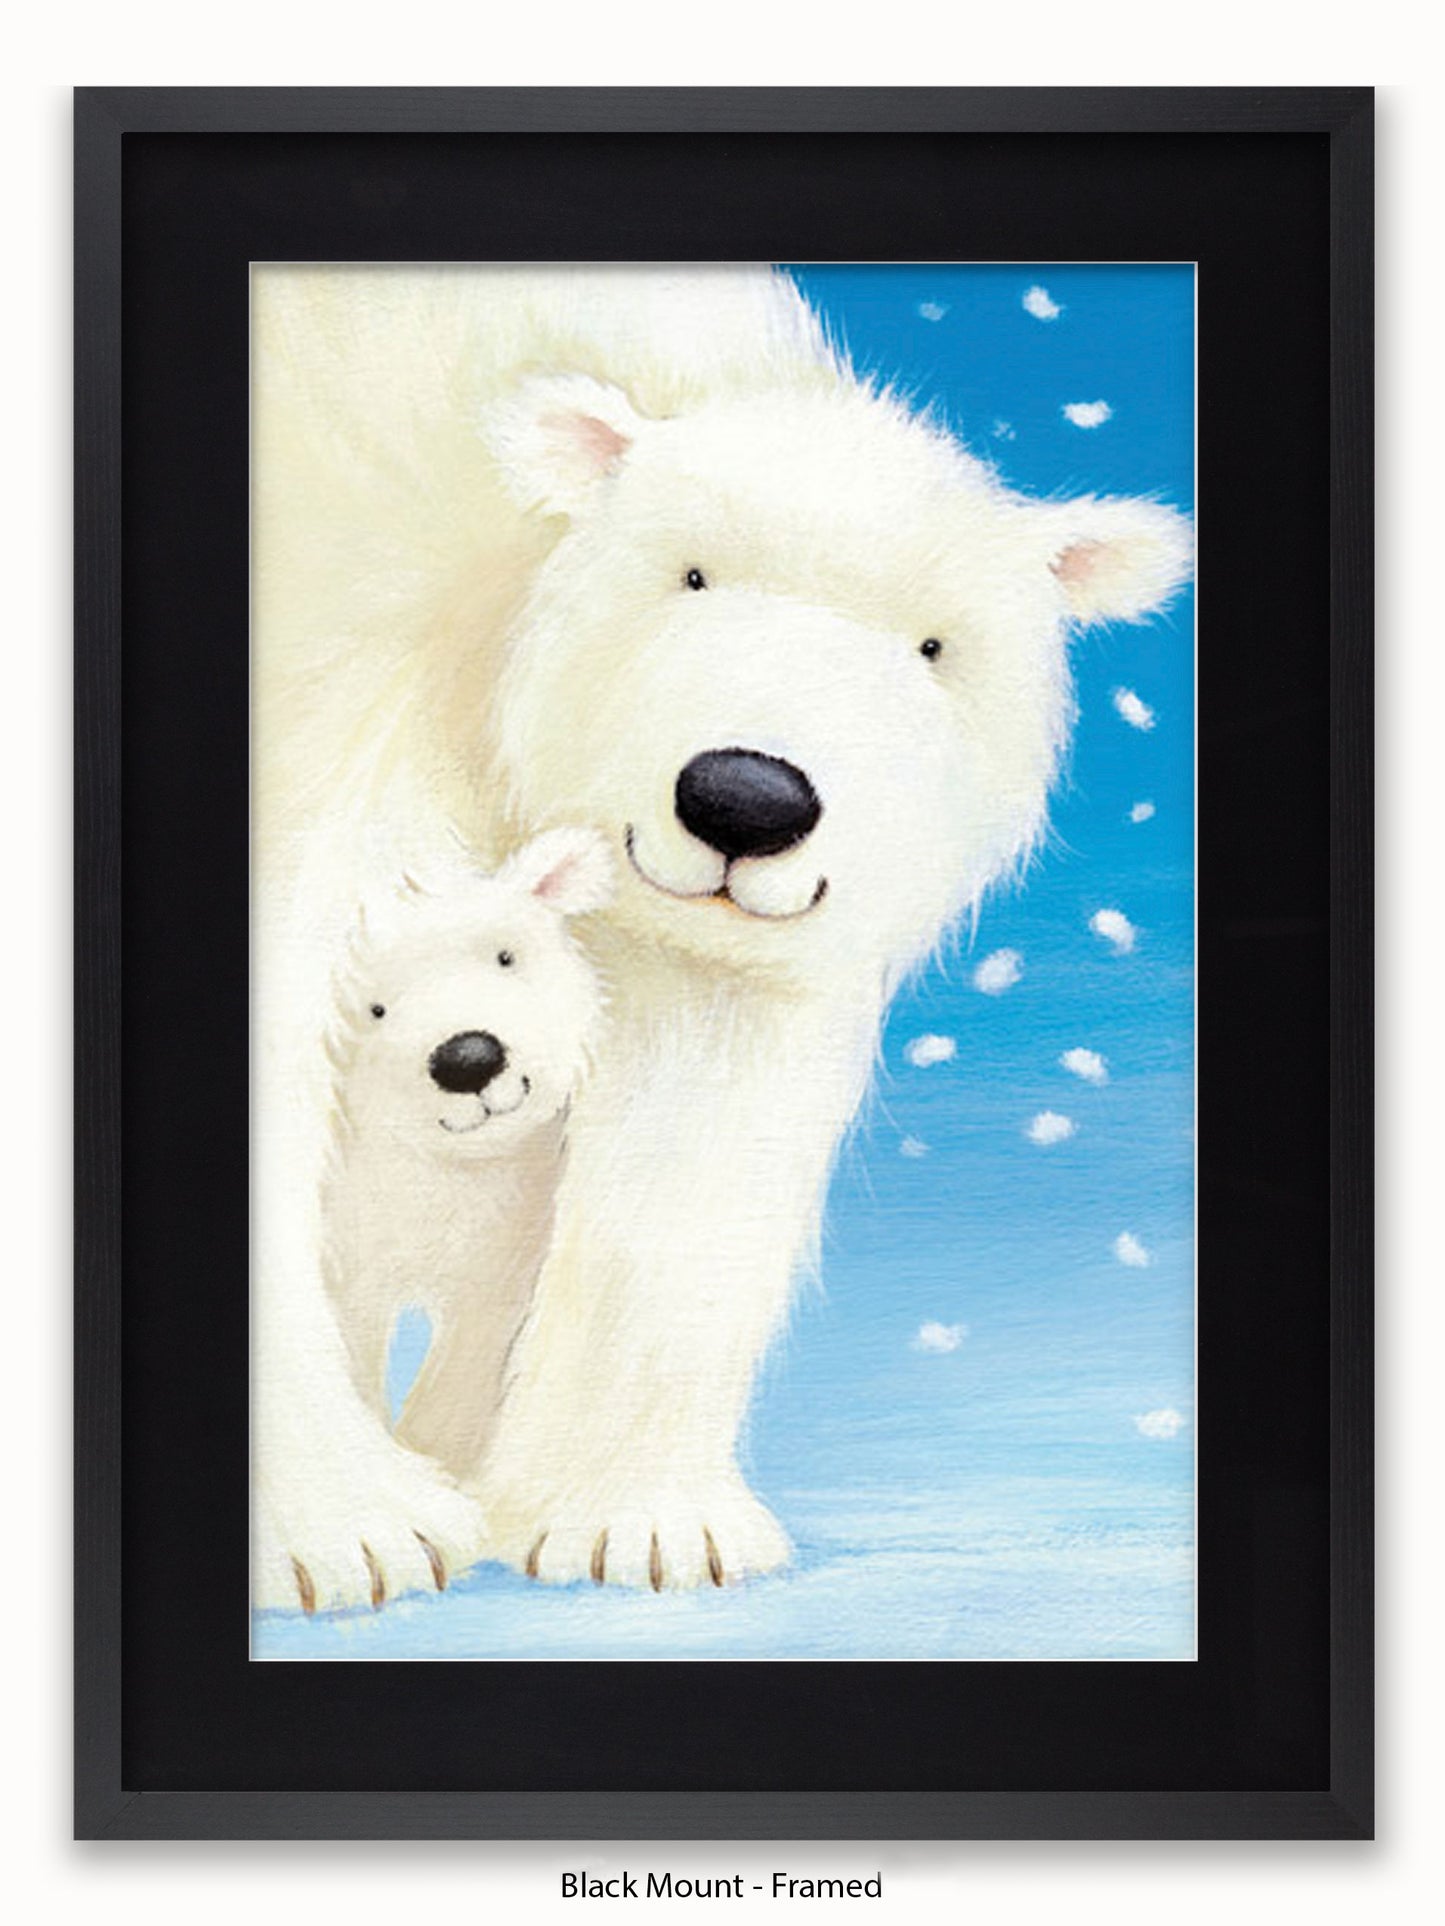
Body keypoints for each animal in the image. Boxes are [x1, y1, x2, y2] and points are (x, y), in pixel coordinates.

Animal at [251, 264, 1191, 1604]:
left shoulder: (719, 942)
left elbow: (692, 1124)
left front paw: (633, 1525)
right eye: (688, 575)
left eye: (933, 643)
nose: (746, 797)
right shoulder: (358, 712)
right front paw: (356, 1532)